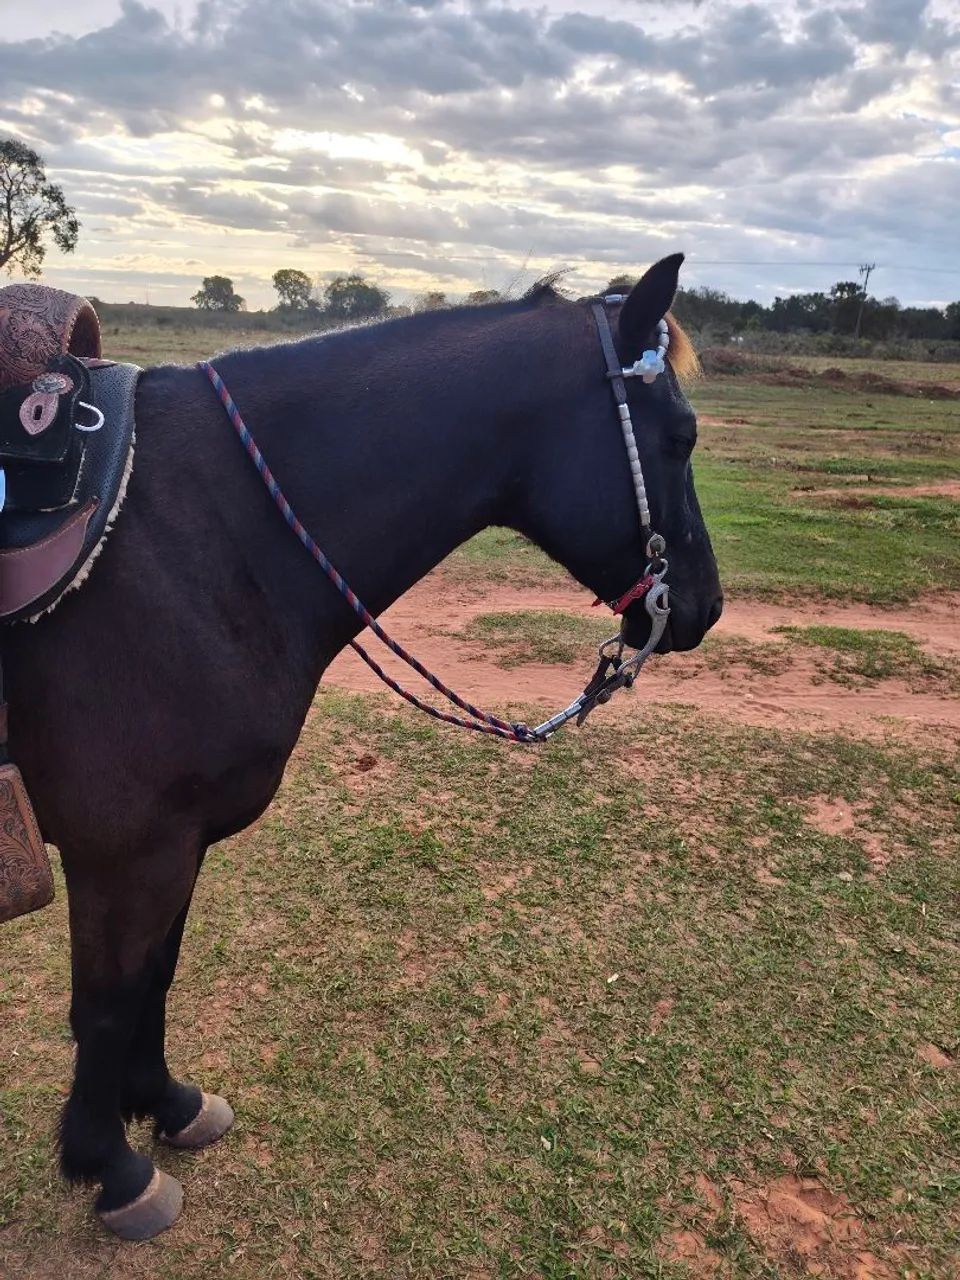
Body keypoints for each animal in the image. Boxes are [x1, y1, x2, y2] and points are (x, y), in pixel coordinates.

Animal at [4, 253, 722, 1239]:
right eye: (681, 436)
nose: (706, 606)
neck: (202, 530)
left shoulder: (175, 846)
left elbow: (156, 975)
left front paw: (167, 1104)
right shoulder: (126, 852)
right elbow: (107, 1006)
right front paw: (108, 1165)